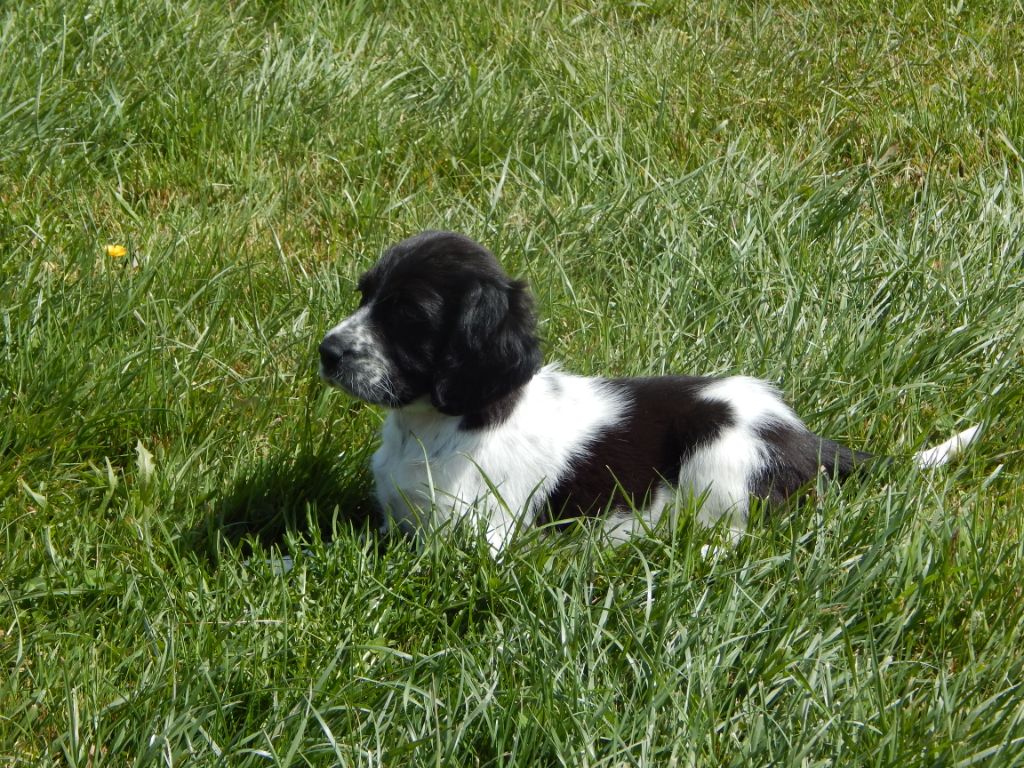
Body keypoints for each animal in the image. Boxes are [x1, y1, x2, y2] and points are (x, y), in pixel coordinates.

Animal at [319, 230, 980, 552]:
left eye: (409, 318)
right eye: (365, 294)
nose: (327, 351)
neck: (433, 427)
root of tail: (804, 439)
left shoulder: (477, 539)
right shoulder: (398, 520)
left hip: (721, 451)